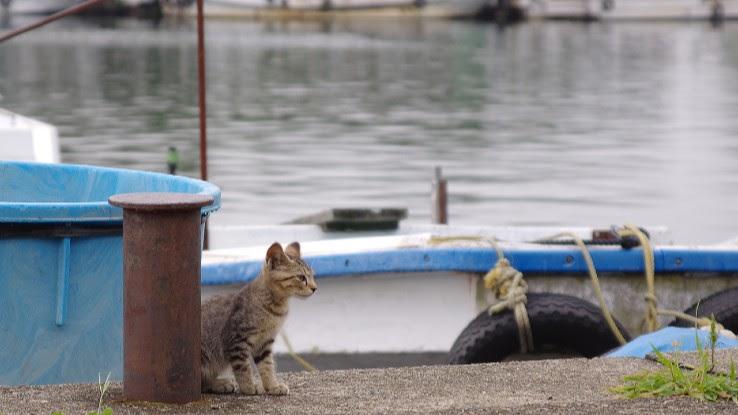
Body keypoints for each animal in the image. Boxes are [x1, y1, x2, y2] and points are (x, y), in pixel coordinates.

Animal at [200, 242, 314, 394]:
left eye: (312, 276)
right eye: (301, 277)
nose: (315, 288)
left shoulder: (265, 342)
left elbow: (267, 366)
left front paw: (272, 385)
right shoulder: (237, 339)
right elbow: (243, 367)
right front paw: (248, 386)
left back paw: (220, 383)